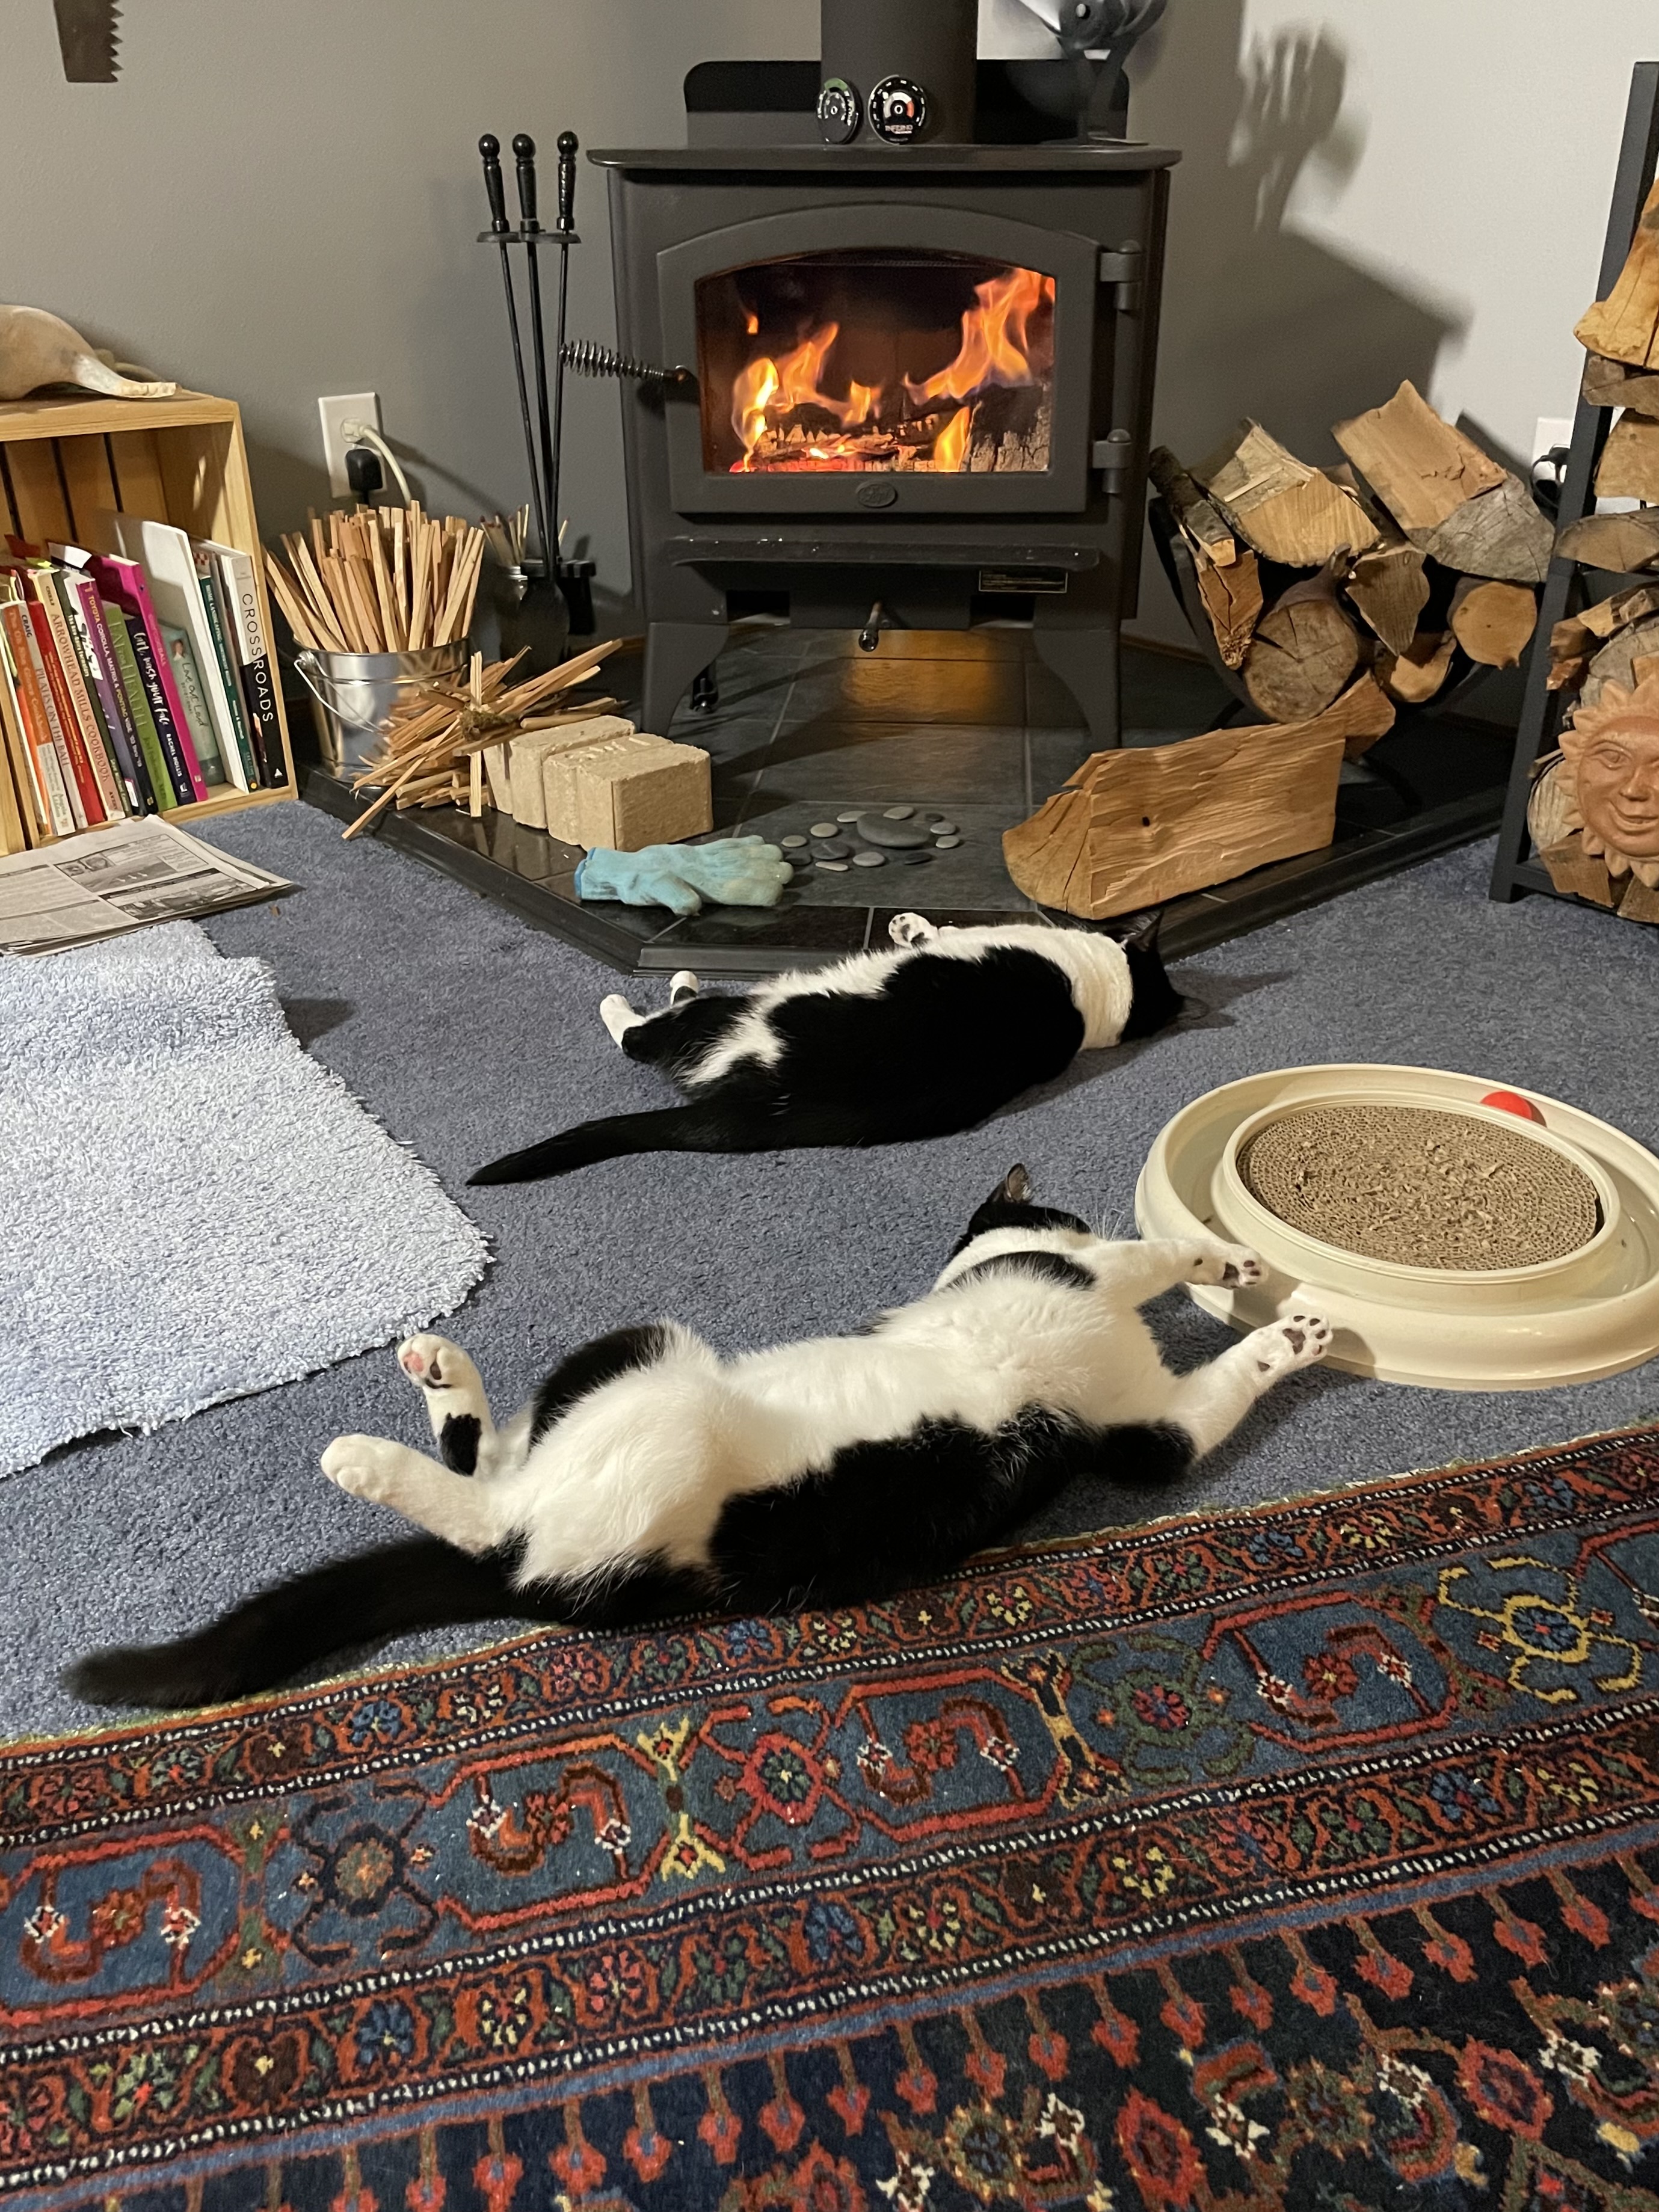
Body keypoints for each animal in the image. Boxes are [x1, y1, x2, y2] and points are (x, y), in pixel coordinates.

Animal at [66, 1167, 1330, 1711]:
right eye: (1042, 1205)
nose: (1057, 1209)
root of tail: (539, 1588)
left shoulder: (1144, 1433)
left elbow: (1202, 1387)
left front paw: (1292, 1326)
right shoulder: (1064, 1310)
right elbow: (1142, 1260)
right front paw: (1228, 1262)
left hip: (647, 1386)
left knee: (492, 1501)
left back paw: (398, 1429)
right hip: (655, 1367)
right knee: (493, 1491)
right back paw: (406, 1408)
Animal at [469, 909, 1184, 1185]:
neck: (1099, 998)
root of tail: (751, 1110)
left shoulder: (973, 938)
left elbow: (940, 931)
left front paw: (908, 926)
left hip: (735, 1020)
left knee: (646, 1034)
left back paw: (646, 993)